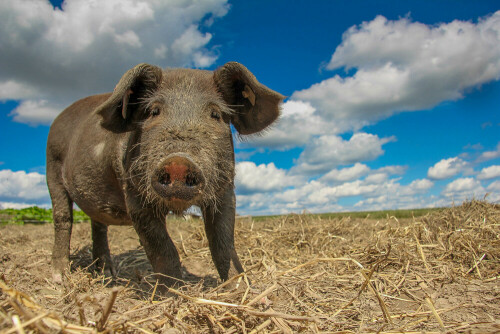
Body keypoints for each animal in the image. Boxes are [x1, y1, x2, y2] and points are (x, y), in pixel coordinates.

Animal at [47, 61, 286, 286]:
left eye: (215, 114)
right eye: (154, 111)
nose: (178, 162)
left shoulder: (225, 193)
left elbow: (224, 245)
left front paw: (240, 288)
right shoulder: (135, 197)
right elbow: (162, 249)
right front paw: (171, 292)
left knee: (98, 224)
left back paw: (107, 273)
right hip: (52, 169)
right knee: (63, 219)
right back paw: (59, 276)